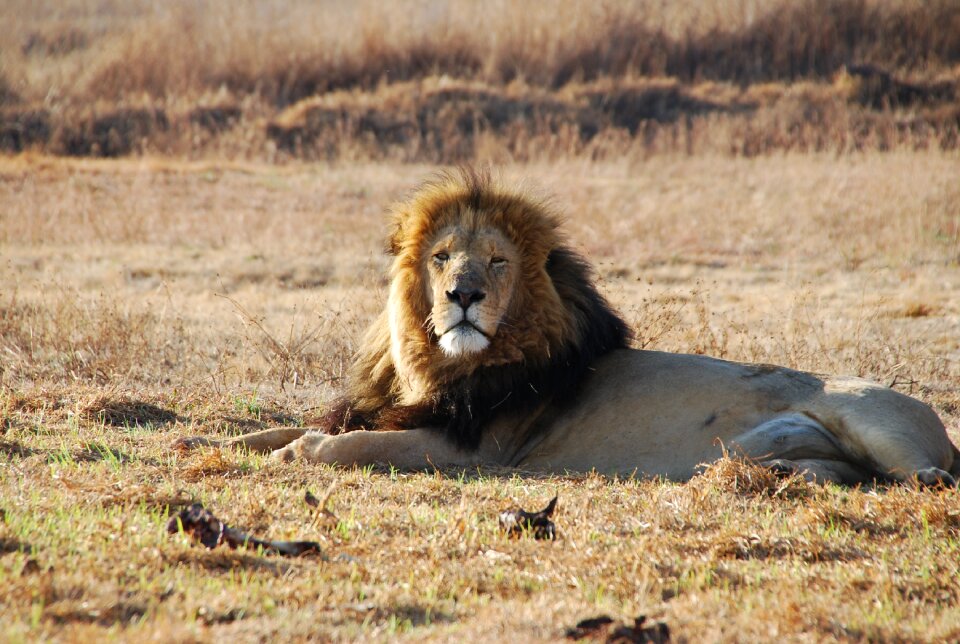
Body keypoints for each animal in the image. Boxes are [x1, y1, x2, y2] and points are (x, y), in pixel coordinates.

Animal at [176, 169, 956, 486]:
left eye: (496, 260)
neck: (433, 365)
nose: (462, 295)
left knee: (926, 478)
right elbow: (283, 426)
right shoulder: (400, 406)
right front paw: (205, 443)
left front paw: (299, 453)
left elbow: (356, 445)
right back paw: (772, 474)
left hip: (867, 415)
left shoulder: (476, 450)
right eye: (440, 258)